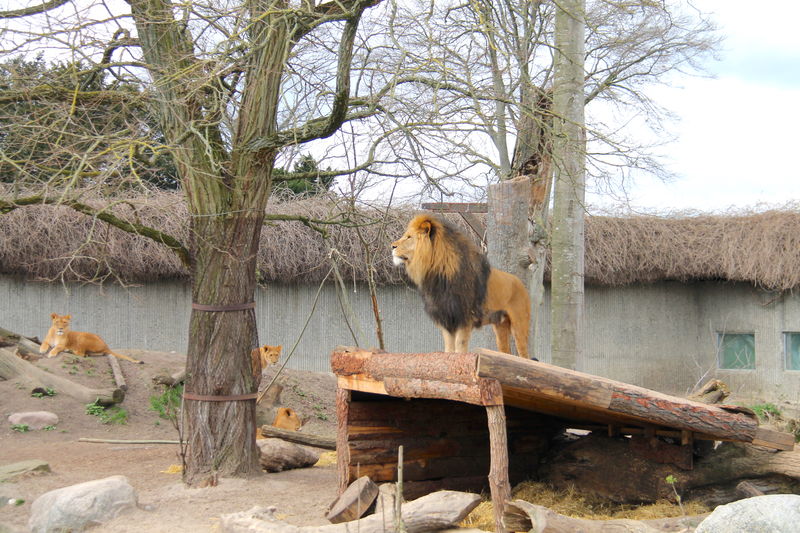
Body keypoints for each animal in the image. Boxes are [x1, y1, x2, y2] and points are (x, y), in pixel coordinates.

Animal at [392, 213, 532, 358]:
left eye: (409, 237)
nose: (392, 246)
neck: (437, 272)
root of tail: (519, 282)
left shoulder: (464, 317)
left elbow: (460, 345)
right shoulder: (447, 317)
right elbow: (449, 346)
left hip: (519, 324)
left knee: (524, 354)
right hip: (500, 325)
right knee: (506, 352)